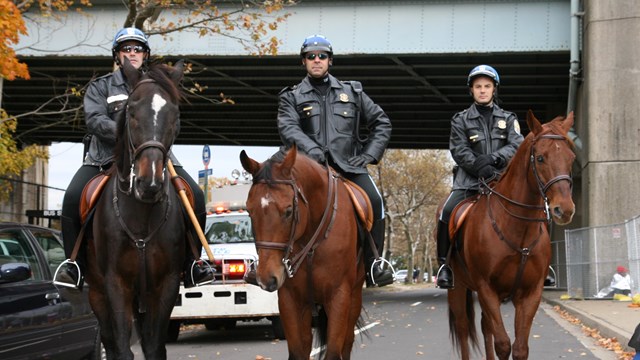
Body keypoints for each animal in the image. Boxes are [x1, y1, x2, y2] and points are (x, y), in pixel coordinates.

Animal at [85, 59, 186, 360]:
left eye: (175, 114)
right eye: (130, 111)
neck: (142, 214)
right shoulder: (115, 284)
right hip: (96, 292)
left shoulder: (166, 285)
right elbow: (121, 347)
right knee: (109, 341)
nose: (148, 182)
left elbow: (154, 347)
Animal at [239, 147, 364, 360]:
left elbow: (334, 351)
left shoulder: (339, 297)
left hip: (354, 297)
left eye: (289, 211)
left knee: (347, 343)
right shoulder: (290, 299)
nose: (266, 278)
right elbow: (298, 351)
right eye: (249, 211)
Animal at [444, 110, 576, 360]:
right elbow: (503, 344)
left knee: (485, 327)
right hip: (458, 289)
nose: (564, 210)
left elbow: (520, 348)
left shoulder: (529, 293)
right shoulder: (487, 289)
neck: (517, 229)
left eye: (571, 158)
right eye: (540, 158)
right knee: (464, 329)